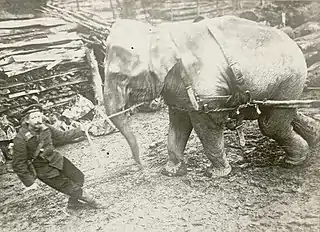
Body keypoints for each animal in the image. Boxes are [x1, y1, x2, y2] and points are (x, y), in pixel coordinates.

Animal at [102, 14, 320, 178]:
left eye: (121, 76)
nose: (141, 168)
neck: (159, 33)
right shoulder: (178, 90)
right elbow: (178, 122)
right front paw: (172, 172)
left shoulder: (207, 91)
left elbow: (206, 125)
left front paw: (216, 174)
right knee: (287, 113)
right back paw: (314, 140)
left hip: (289, 77)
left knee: (271, 123)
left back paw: (293, 161)